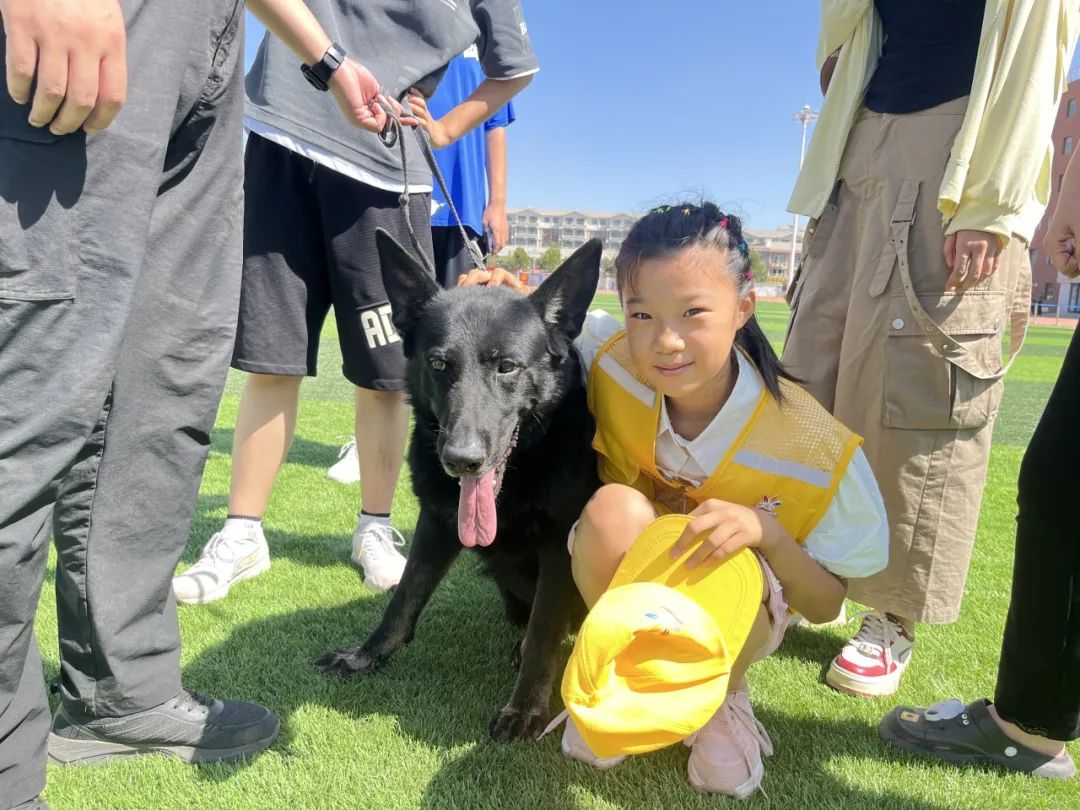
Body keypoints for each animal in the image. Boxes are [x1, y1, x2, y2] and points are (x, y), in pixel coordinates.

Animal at [315, 230, 603, 742]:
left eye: (507, 367)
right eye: (438, 364)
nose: (461, 461)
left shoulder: (559, 547)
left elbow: (545, 632)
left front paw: (525, 709)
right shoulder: (436, 523)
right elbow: (404, 597)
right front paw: (366, 656)